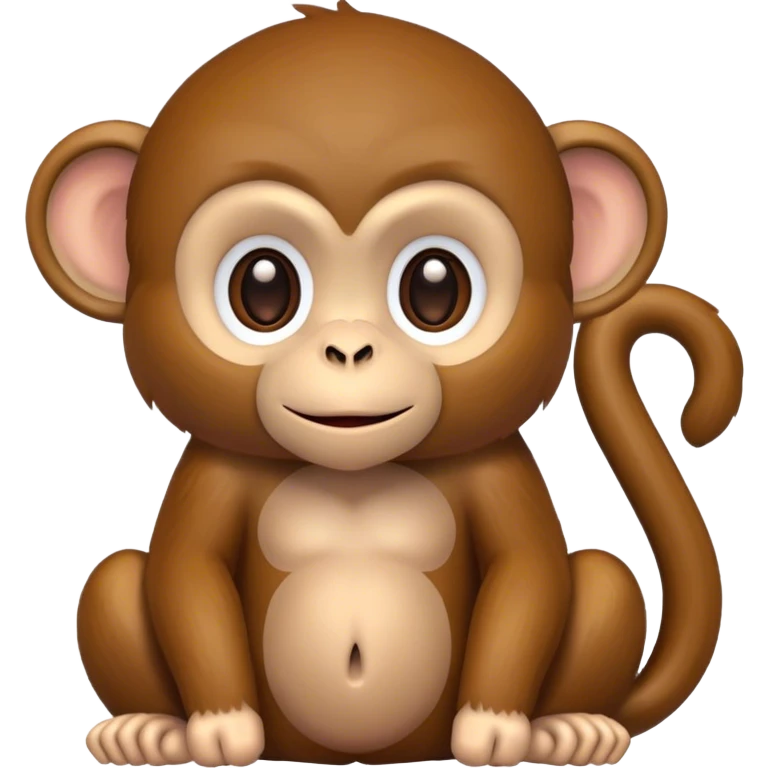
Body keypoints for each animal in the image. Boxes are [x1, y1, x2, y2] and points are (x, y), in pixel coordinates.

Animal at [25, 2, 743, 767]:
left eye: (435, 288)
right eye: (263, 288)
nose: (348, 349)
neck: (354, 474)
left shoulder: (499, 470)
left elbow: (529, 574)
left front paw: (493, 727)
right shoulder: (212, 474)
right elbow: (185, 576)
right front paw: (221, 727)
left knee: (605, 581)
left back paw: (571, 727)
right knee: (112, 581)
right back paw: (148, 729)